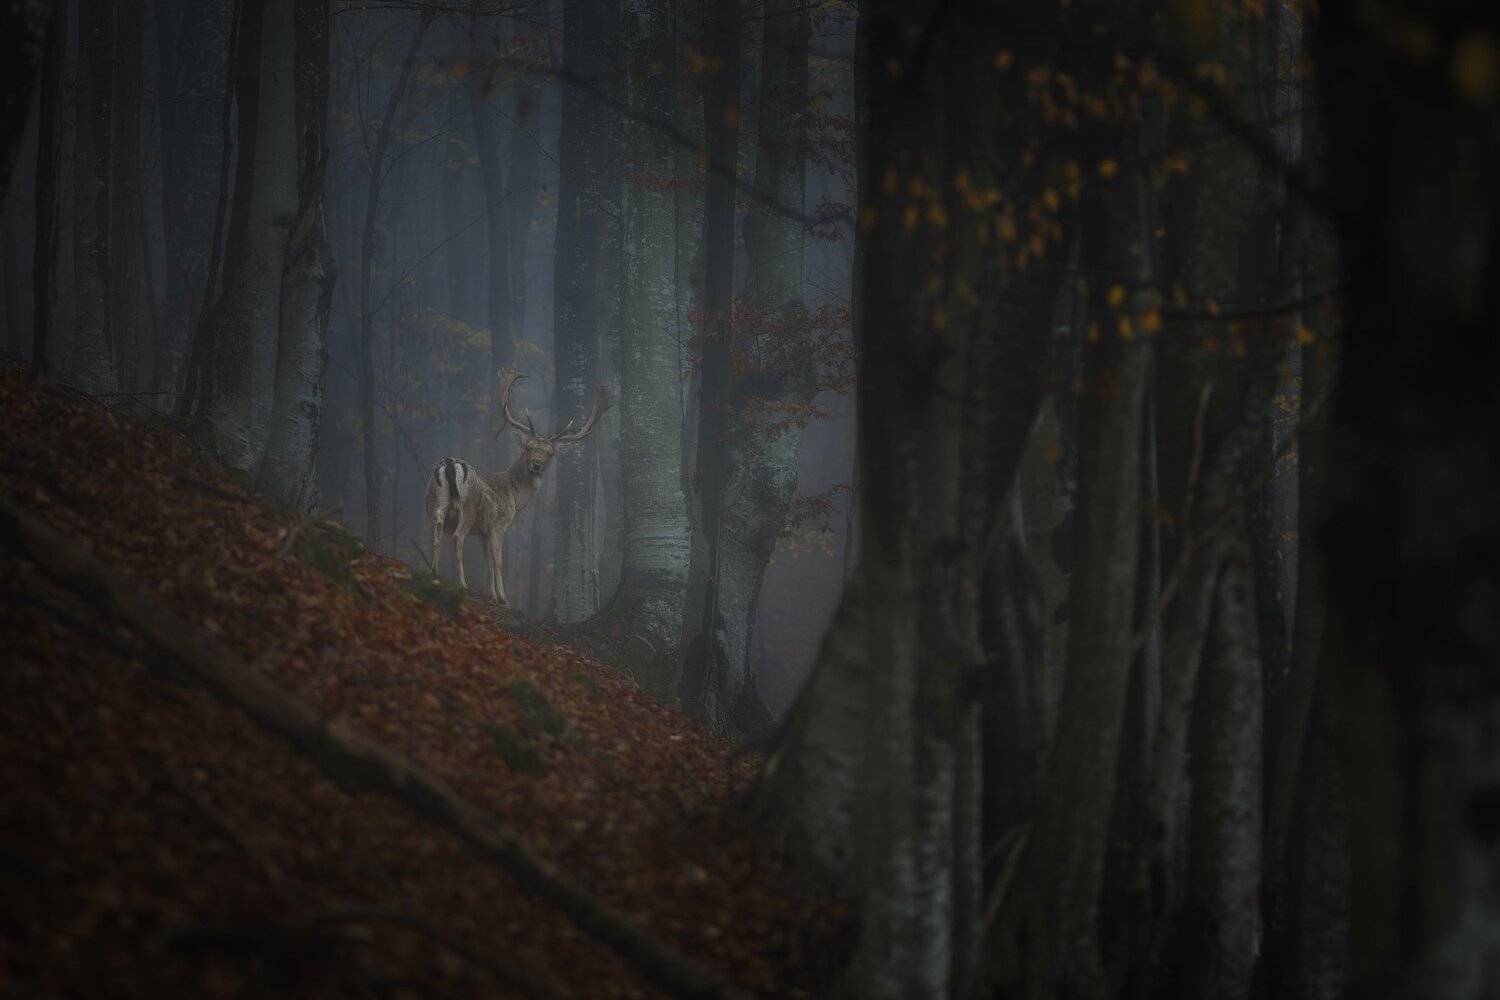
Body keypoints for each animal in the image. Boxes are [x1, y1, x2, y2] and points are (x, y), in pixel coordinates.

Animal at [425, 369, 609, 604]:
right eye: (528, 447)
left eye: (550, 453)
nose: (536, 465)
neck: (513, 495)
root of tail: (449, 464)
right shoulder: (498, 524)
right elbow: (498, 561)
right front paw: (504, 599)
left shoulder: (483, 531)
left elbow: (488, 561)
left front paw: (493, 595)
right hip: (468, 508)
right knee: (457, 536)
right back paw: (463, 585)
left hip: (434, 501)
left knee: (437, 531)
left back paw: (434, 574)